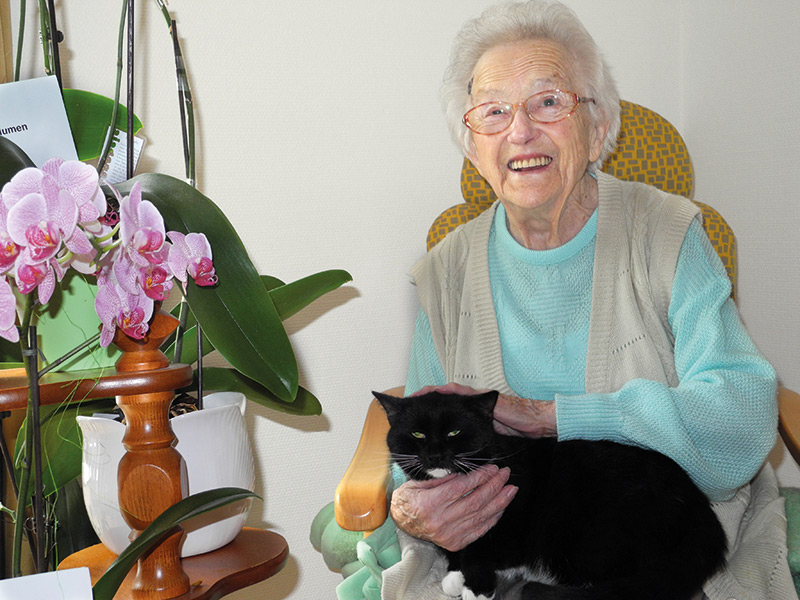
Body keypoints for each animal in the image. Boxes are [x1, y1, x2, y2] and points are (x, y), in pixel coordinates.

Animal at [374, 390, 724, 600]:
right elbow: (458, 543)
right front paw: (455, 573)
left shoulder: (512, 508)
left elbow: (485, 547)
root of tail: (698, 507)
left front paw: (476, 585)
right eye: (417, 433)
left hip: (595, 532)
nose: (434, 455)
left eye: (454, 432)